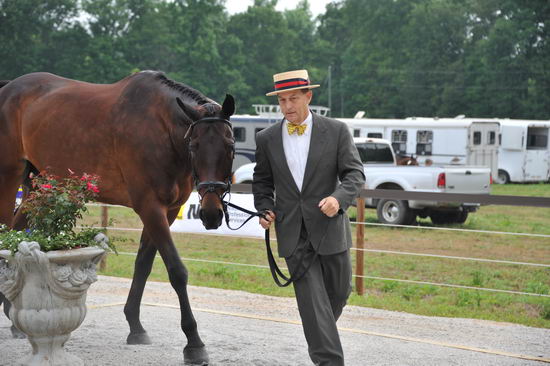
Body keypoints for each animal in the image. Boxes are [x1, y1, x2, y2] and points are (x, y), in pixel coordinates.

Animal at [0, 71, 235, 364]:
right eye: (194, 145)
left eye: (230, 145)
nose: (211, 213)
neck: (161, 127)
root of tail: (9, 88)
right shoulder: (150, 207)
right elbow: (176, 271)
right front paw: (194, 343)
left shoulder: (167, 211)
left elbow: (143, 265)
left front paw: (135, 327)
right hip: (8, 176)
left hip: (38, 187)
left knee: (15, 232)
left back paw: (12, 317)